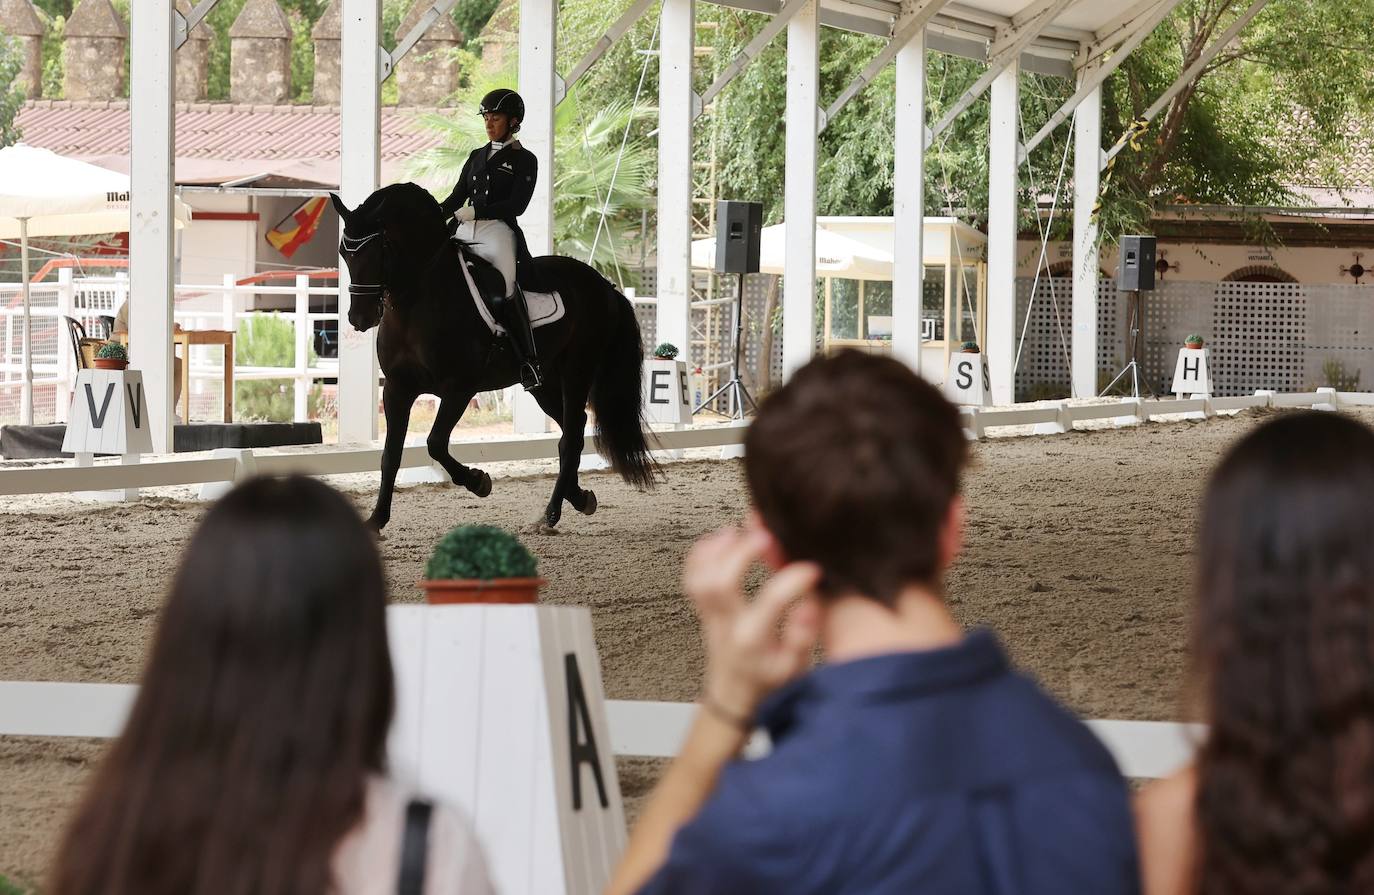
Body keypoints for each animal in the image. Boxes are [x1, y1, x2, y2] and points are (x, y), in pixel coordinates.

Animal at [329, 184, 656, 533]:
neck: (420, 301)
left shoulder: (460, 388)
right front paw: (376, 519)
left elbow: (435, 443)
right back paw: (578, 498)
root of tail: (605, 286)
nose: (359, 318)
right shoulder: (396, 388)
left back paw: (551, 514)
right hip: (543, 382)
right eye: (344, 253)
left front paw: (478, 481)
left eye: (379, 250)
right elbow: (390, 455)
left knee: (570, 436)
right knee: (574, 428)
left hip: (577, 369)